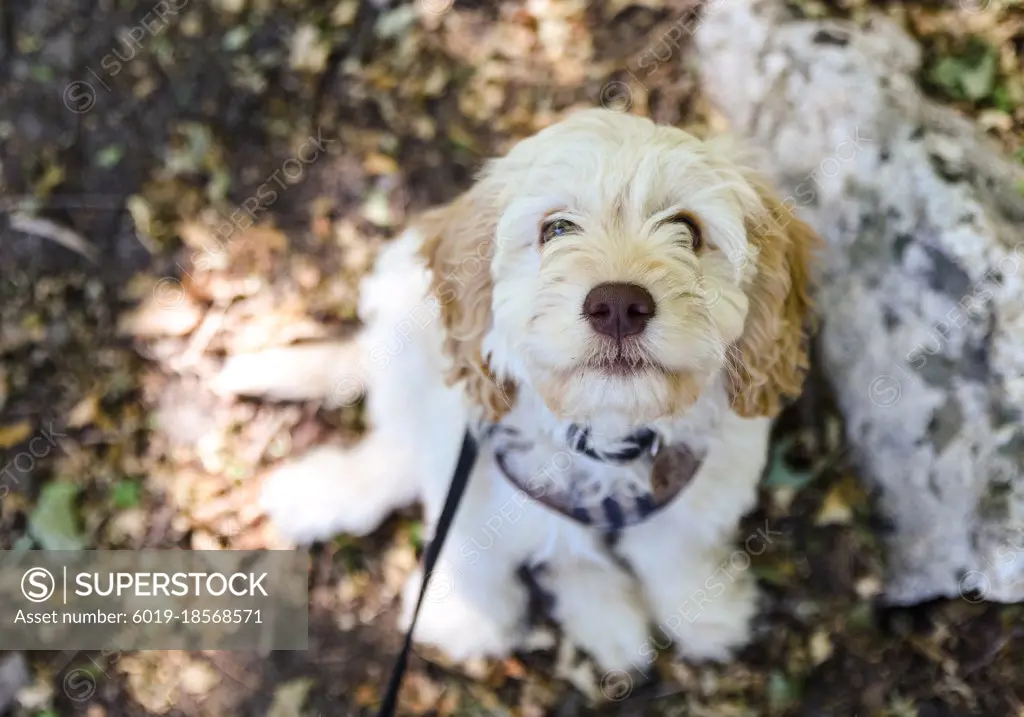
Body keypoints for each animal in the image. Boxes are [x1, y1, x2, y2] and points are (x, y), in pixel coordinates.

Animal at [260, 106, 819, 684]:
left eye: (686, 229)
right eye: (556, 228)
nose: (618, 306)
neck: (604, 436)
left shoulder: (699, 492)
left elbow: (676, 553)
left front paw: (704, 609)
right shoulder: (471, 467)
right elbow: (467, 547)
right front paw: (464, 614)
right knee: (397, 447)